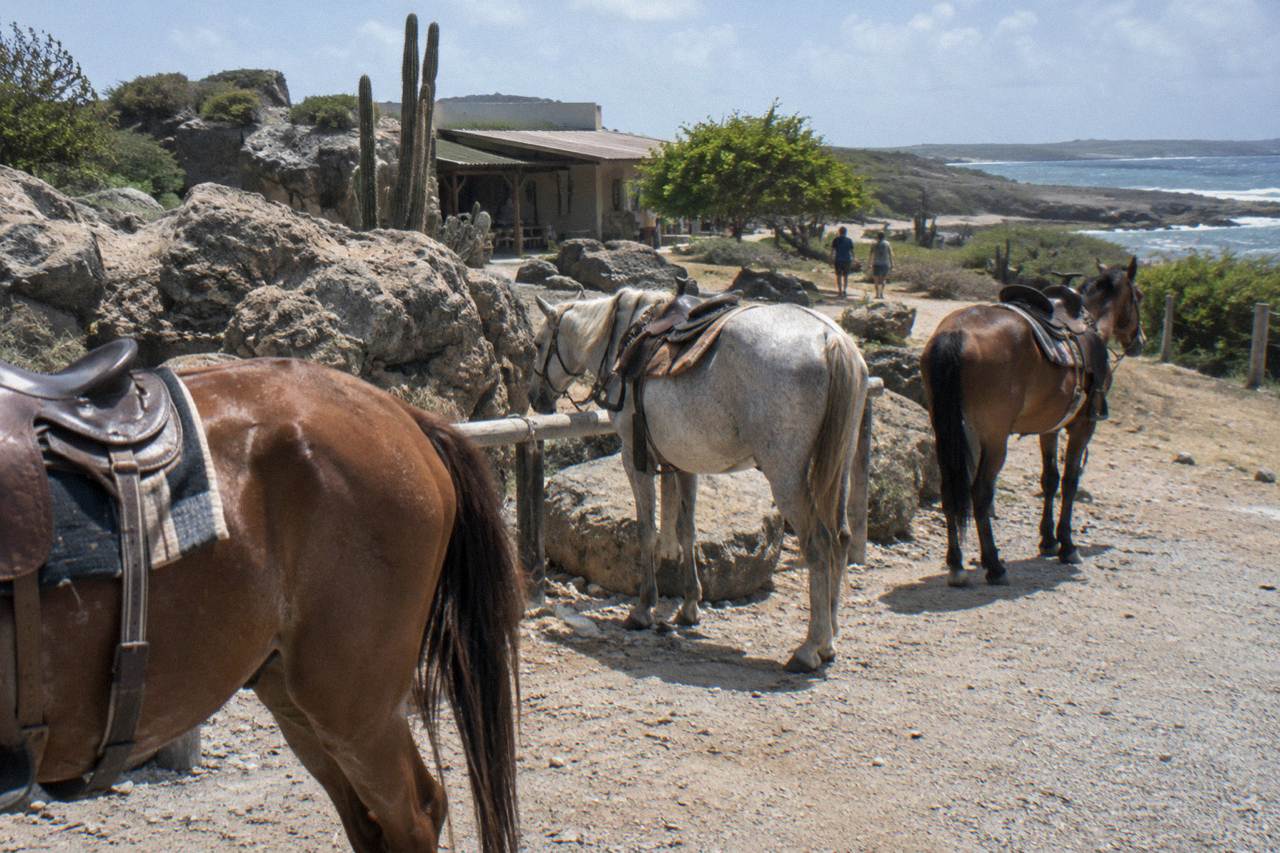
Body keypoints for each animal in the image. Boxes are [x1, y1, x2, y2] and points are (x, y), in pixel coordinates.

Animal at [528, 287, 869, 673]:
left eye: (538, 344)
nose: (535, 397)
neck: (625, 340)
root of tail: (831, 338)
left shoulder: (635, 458)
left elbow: (647, 531)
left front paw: (643, 609)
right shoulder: (684, 462)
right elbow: (685, 530)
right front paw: (689, 607)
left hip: (787, 476)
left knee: (819, 544)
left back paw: (811, 647)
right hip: (838, 463)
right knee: (842, 537)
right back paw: (831, 635)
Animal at [920, 258, 1145, 586]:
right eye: (1139, 296)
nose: (1140, 341)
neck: (1092, 324)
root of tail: (955, 334)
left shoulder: (1049, 428)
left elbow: (1049, 479)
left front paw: (1048, 540)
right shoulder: (1082, 427)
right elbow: (1069, 481)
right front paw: (1067, 546)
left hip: (948, 430)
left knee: (951, 490)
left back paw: (957, 564)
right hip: (994, 438)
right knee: (980, 493)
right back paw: (994, 565)